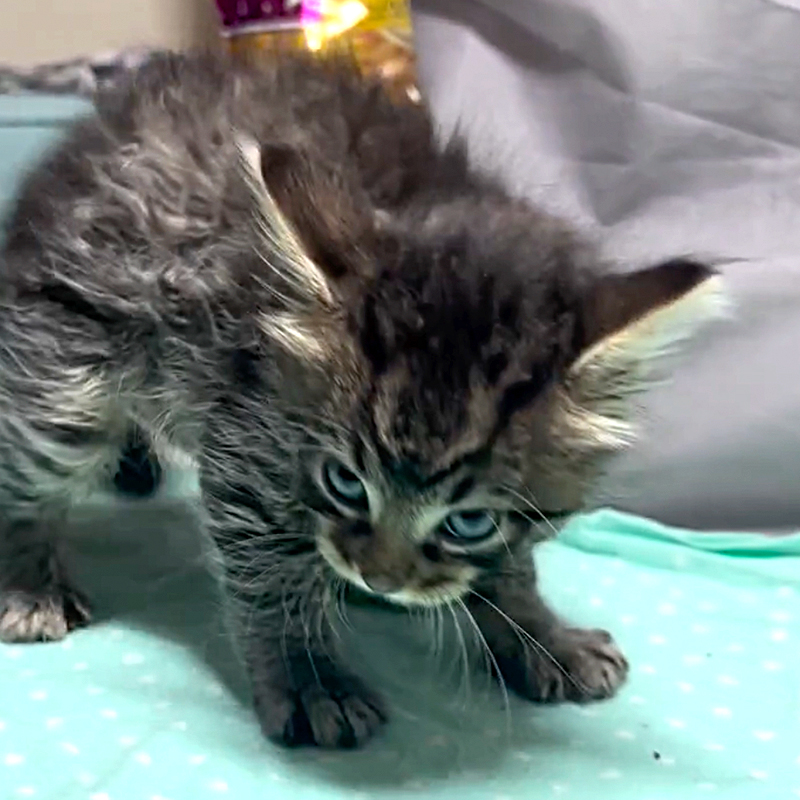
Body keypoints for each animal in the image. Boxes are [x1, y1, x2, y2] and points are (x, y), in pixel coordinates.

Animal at [0, 53, 724, 748]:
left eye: (469, 522)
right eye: (345, 482)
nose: (379, 577)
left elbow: (508, 562)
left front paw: (540, 633)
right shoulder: (248, 435)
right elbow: (271, 566)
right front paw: (310, 677)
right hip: (68, 362)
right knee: (28, 465)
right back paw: (27, 582)